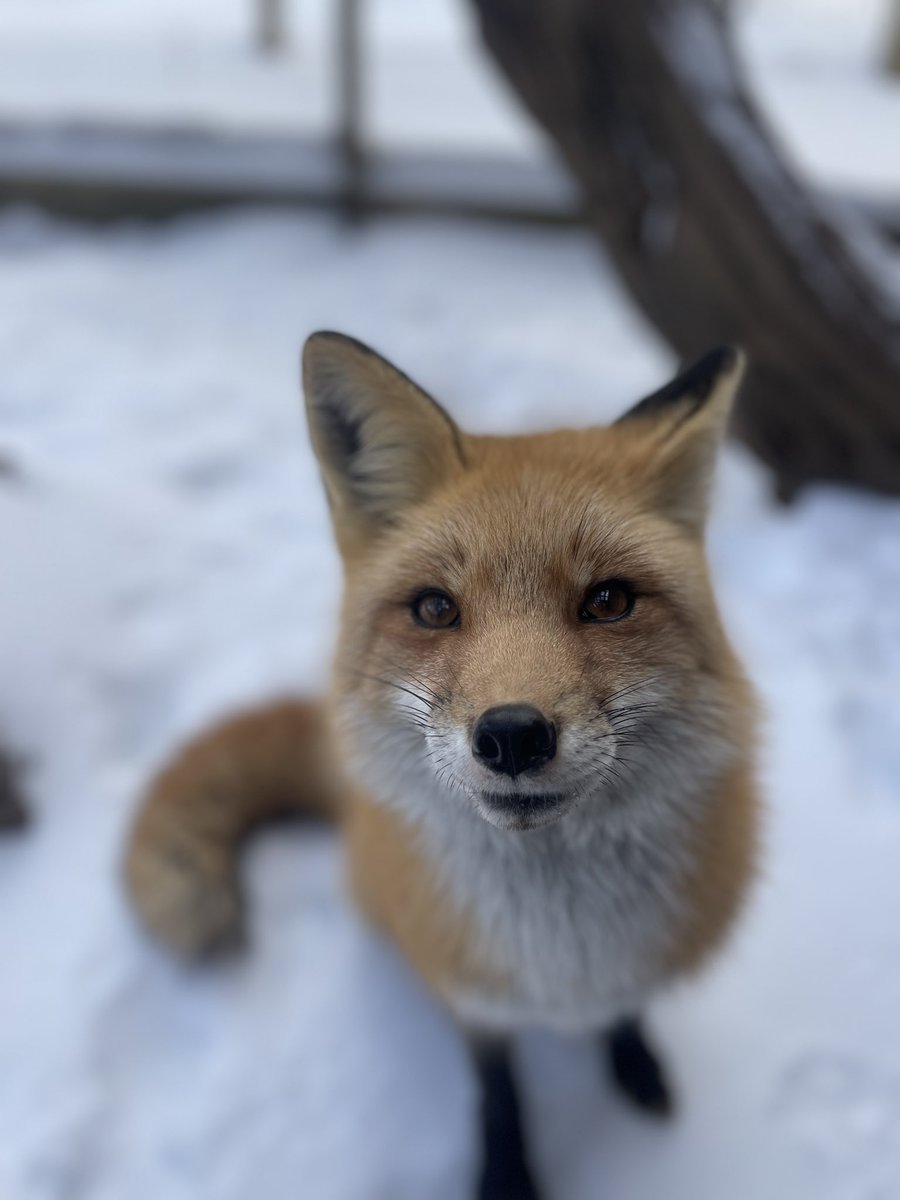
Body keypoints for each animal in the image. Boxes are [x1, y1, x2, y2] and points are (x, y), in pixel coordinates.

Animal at [125, 331, 760, 1199]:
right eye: (434, 609)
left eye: (608, 601)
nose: (513, 736)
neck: (561, 950)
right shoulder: (469, 993)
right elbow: (497, 1093)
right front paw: (506, 1176)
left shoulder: (631, 970)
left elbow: (625, 1016)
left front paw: (635, 1063)